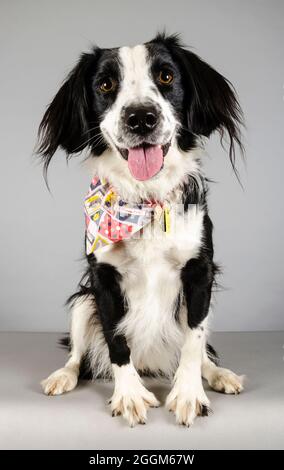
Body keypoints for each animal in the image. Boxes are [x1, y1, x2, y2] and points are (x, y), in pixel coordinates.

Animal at [38, 35, 245, 428]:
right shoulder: (102, 278)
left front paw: (188, 395)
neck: (144, 199)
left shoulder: (200, 273)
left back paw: (219, 375)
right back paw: (63, 376)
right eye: (106, 84)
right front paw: (130, 396)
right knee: (77, 354)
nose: (141, 118)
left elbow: (193, 341)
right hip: (81, 303)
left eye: (165, 76)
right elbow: (117, 342)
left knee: (201, 350)